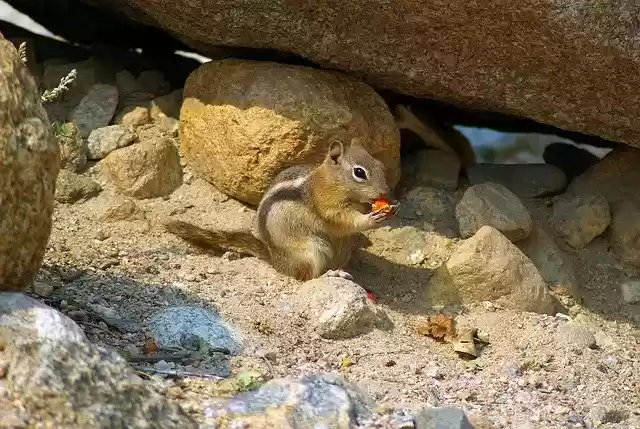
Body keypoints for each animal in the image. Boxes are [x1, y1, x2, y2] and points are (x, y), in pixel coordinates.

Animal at [162, 138, 399, 282]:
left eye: (380, 166)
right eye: (359, 173)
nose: (386, 192)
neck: (331, 182)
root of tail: (277, 261)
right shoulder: (326, 204)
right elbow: (343, 220)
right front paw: (373, 218)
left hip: (343, 250)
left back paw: (342, 272)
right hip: (311, 253)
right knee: (307, 277)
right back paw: (330, 275)